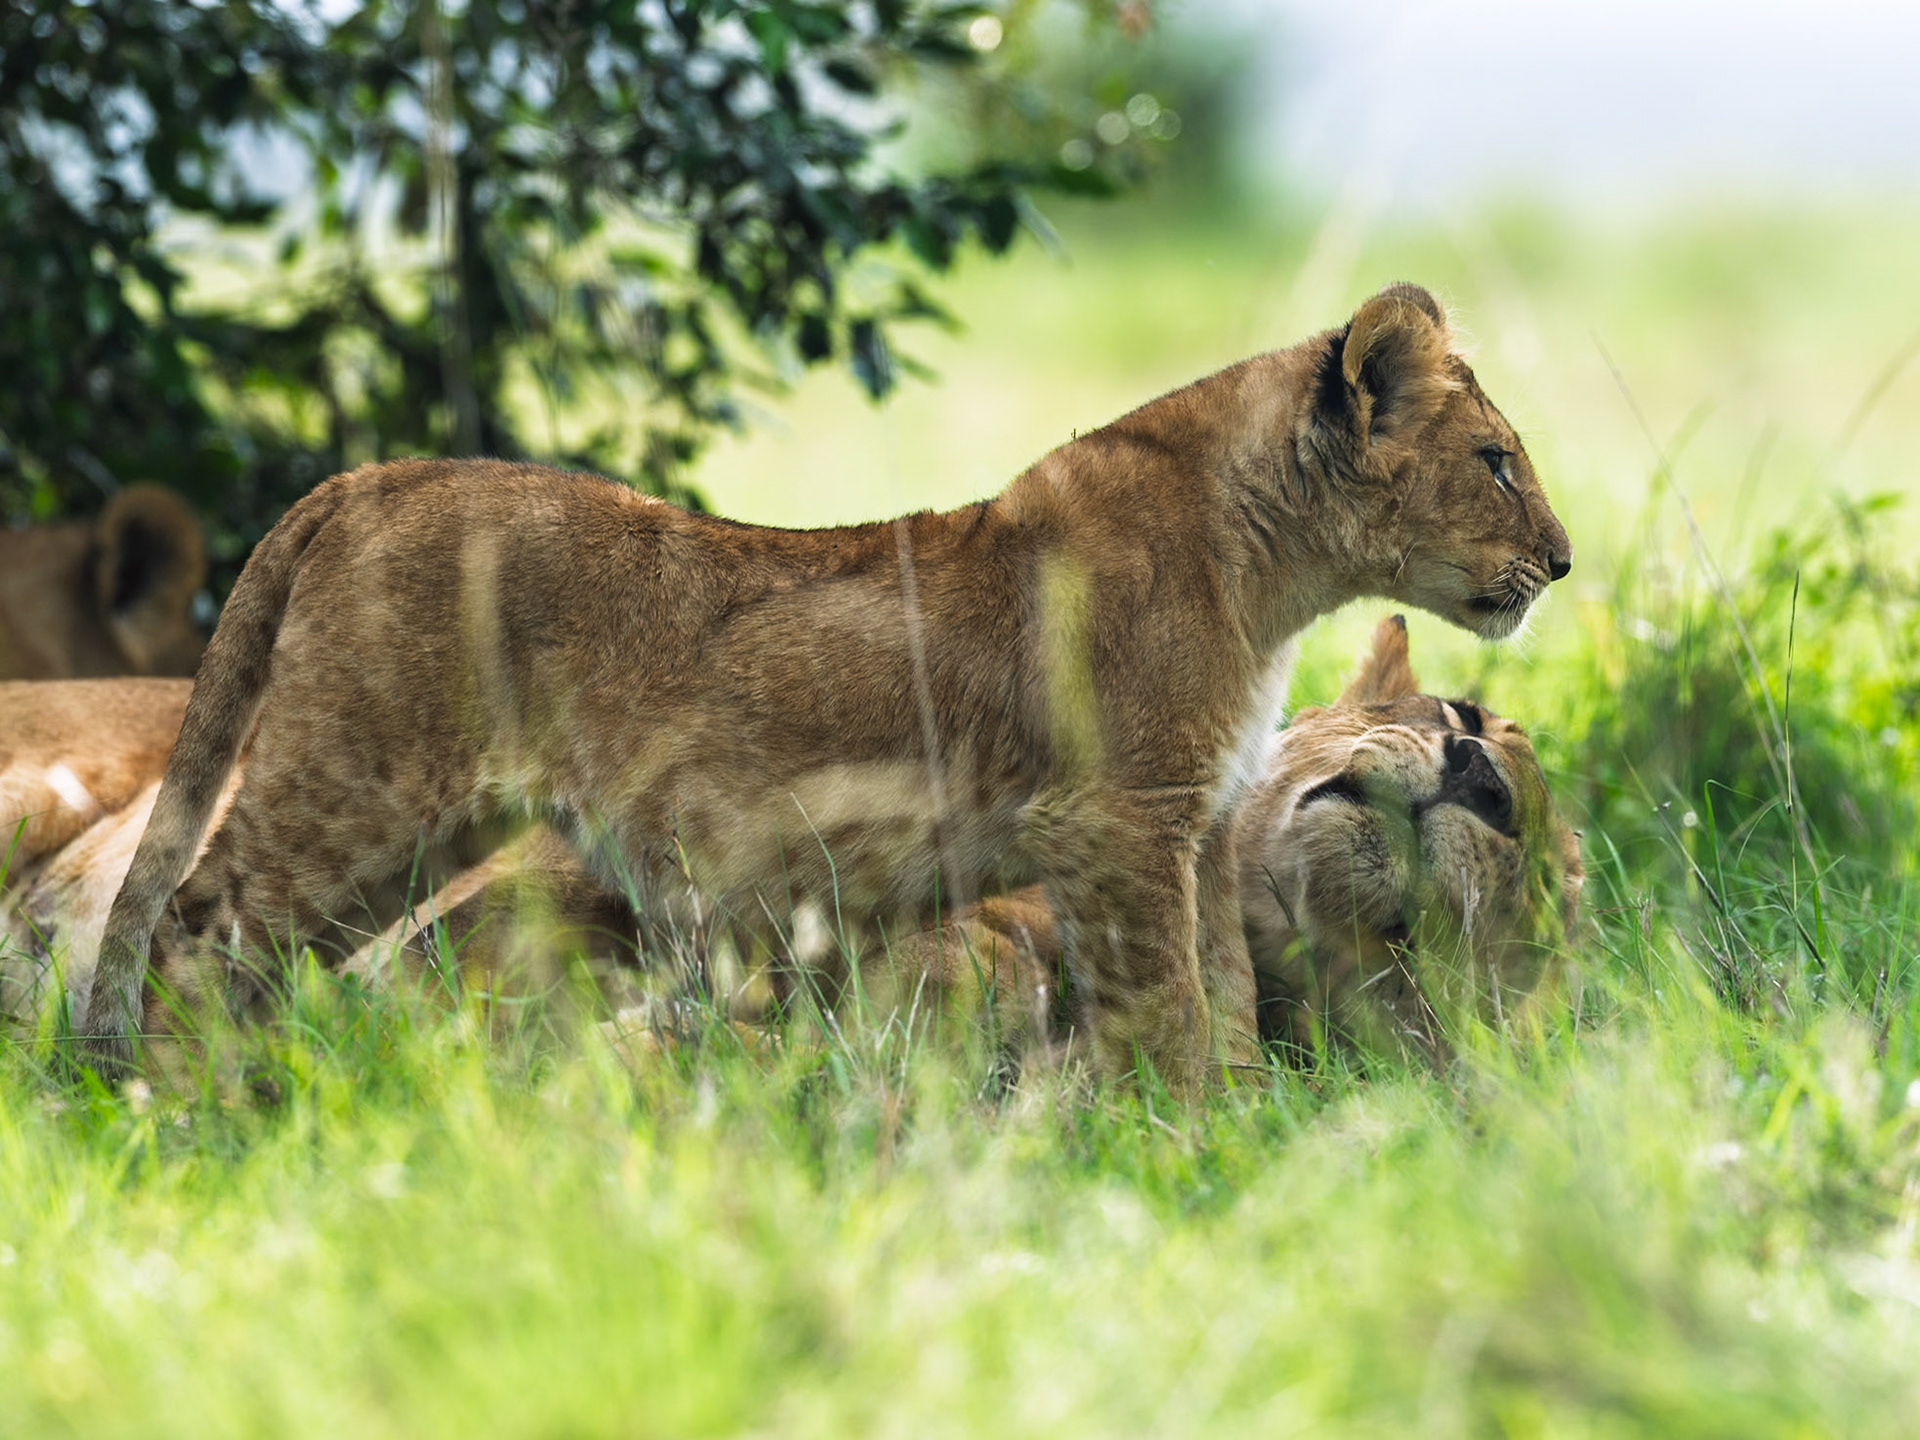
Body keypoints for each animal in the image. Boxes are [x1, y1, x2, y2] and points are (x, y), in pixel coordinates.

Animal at [84, 283, 1571, 1089]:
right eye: (1497, 461)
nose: (1562, 562)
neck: (1260, 566)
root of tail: (369, 477)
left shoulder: (1196, 827)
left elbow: (1225, 998)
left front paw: (1243, 1137)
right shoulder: (1116, 823)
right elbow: (1164, 1010)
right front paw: (1191, 1153)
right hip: (358, 783)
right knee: (196, 919)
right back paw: (180, 1106)